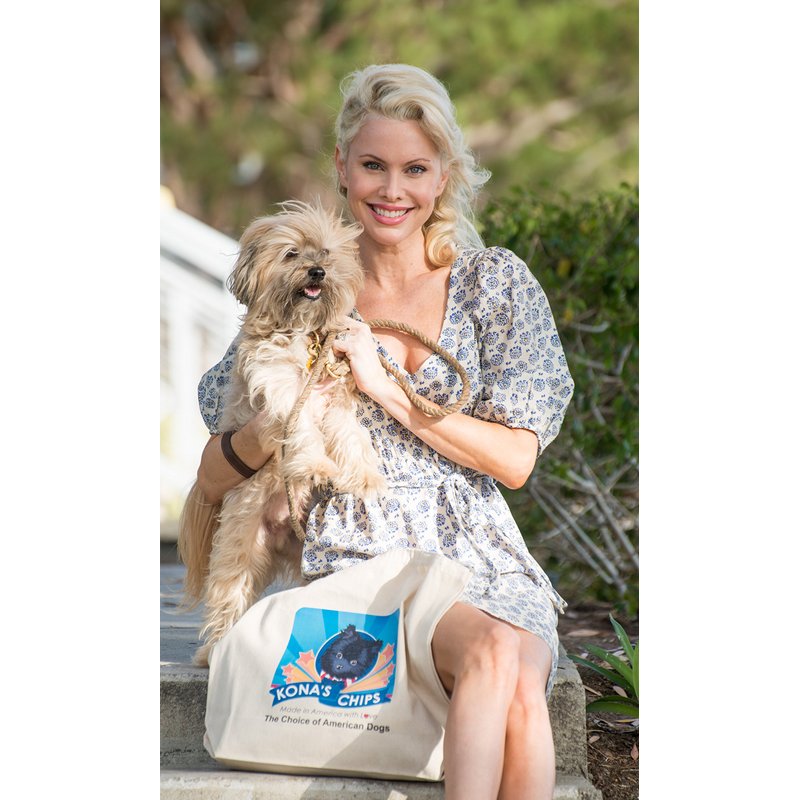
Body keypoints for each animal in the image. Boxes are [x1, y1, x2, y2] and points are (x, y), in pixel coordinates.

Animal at [178, 200, 385, 666]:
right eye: (292, 254)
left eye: (325, 253)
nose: (317, 272)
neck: (303, 335)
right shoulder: (282, 394)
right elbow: (304, 431)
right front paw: (317, 466)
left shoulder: (337, 397)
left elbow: (352, 436)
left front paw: (363, 474)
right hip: (240, 547)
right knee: (229, 597)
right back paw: (218, 651)